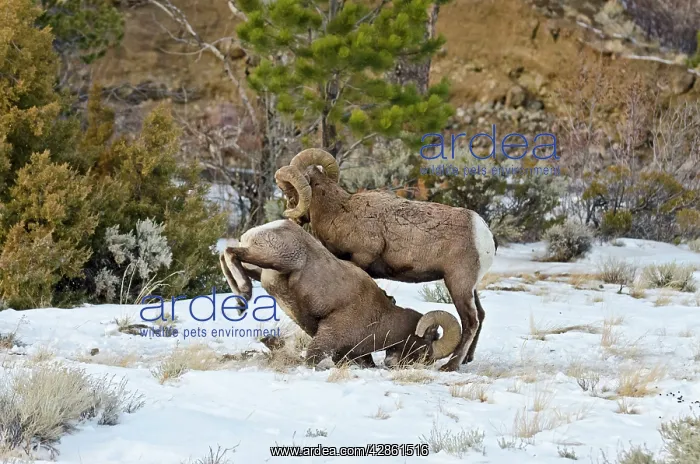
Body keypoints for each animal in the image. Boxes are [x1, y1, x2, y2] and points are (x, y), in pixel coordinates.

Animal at [219, 219, 461, 368]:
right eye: (429, 342)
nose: (425, 363)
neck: (381, 319)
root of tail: (270, 227)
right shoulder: (326, 341)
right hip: (279, 260)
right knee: (230, 252)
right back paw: (244, 295)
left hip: (263, 269)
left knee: (226, 256)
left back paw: (240, 300)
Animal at [273, 148, 497, 372]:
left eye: (289, 189)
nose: (293, 214)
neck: (339, 211)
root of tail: (484, 233)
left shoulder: (361, 258)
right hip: (469, 287)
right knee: (481, 315)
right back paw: (467, 359)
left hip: (458, 284)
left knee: (471, 321)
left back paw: (450, 366)